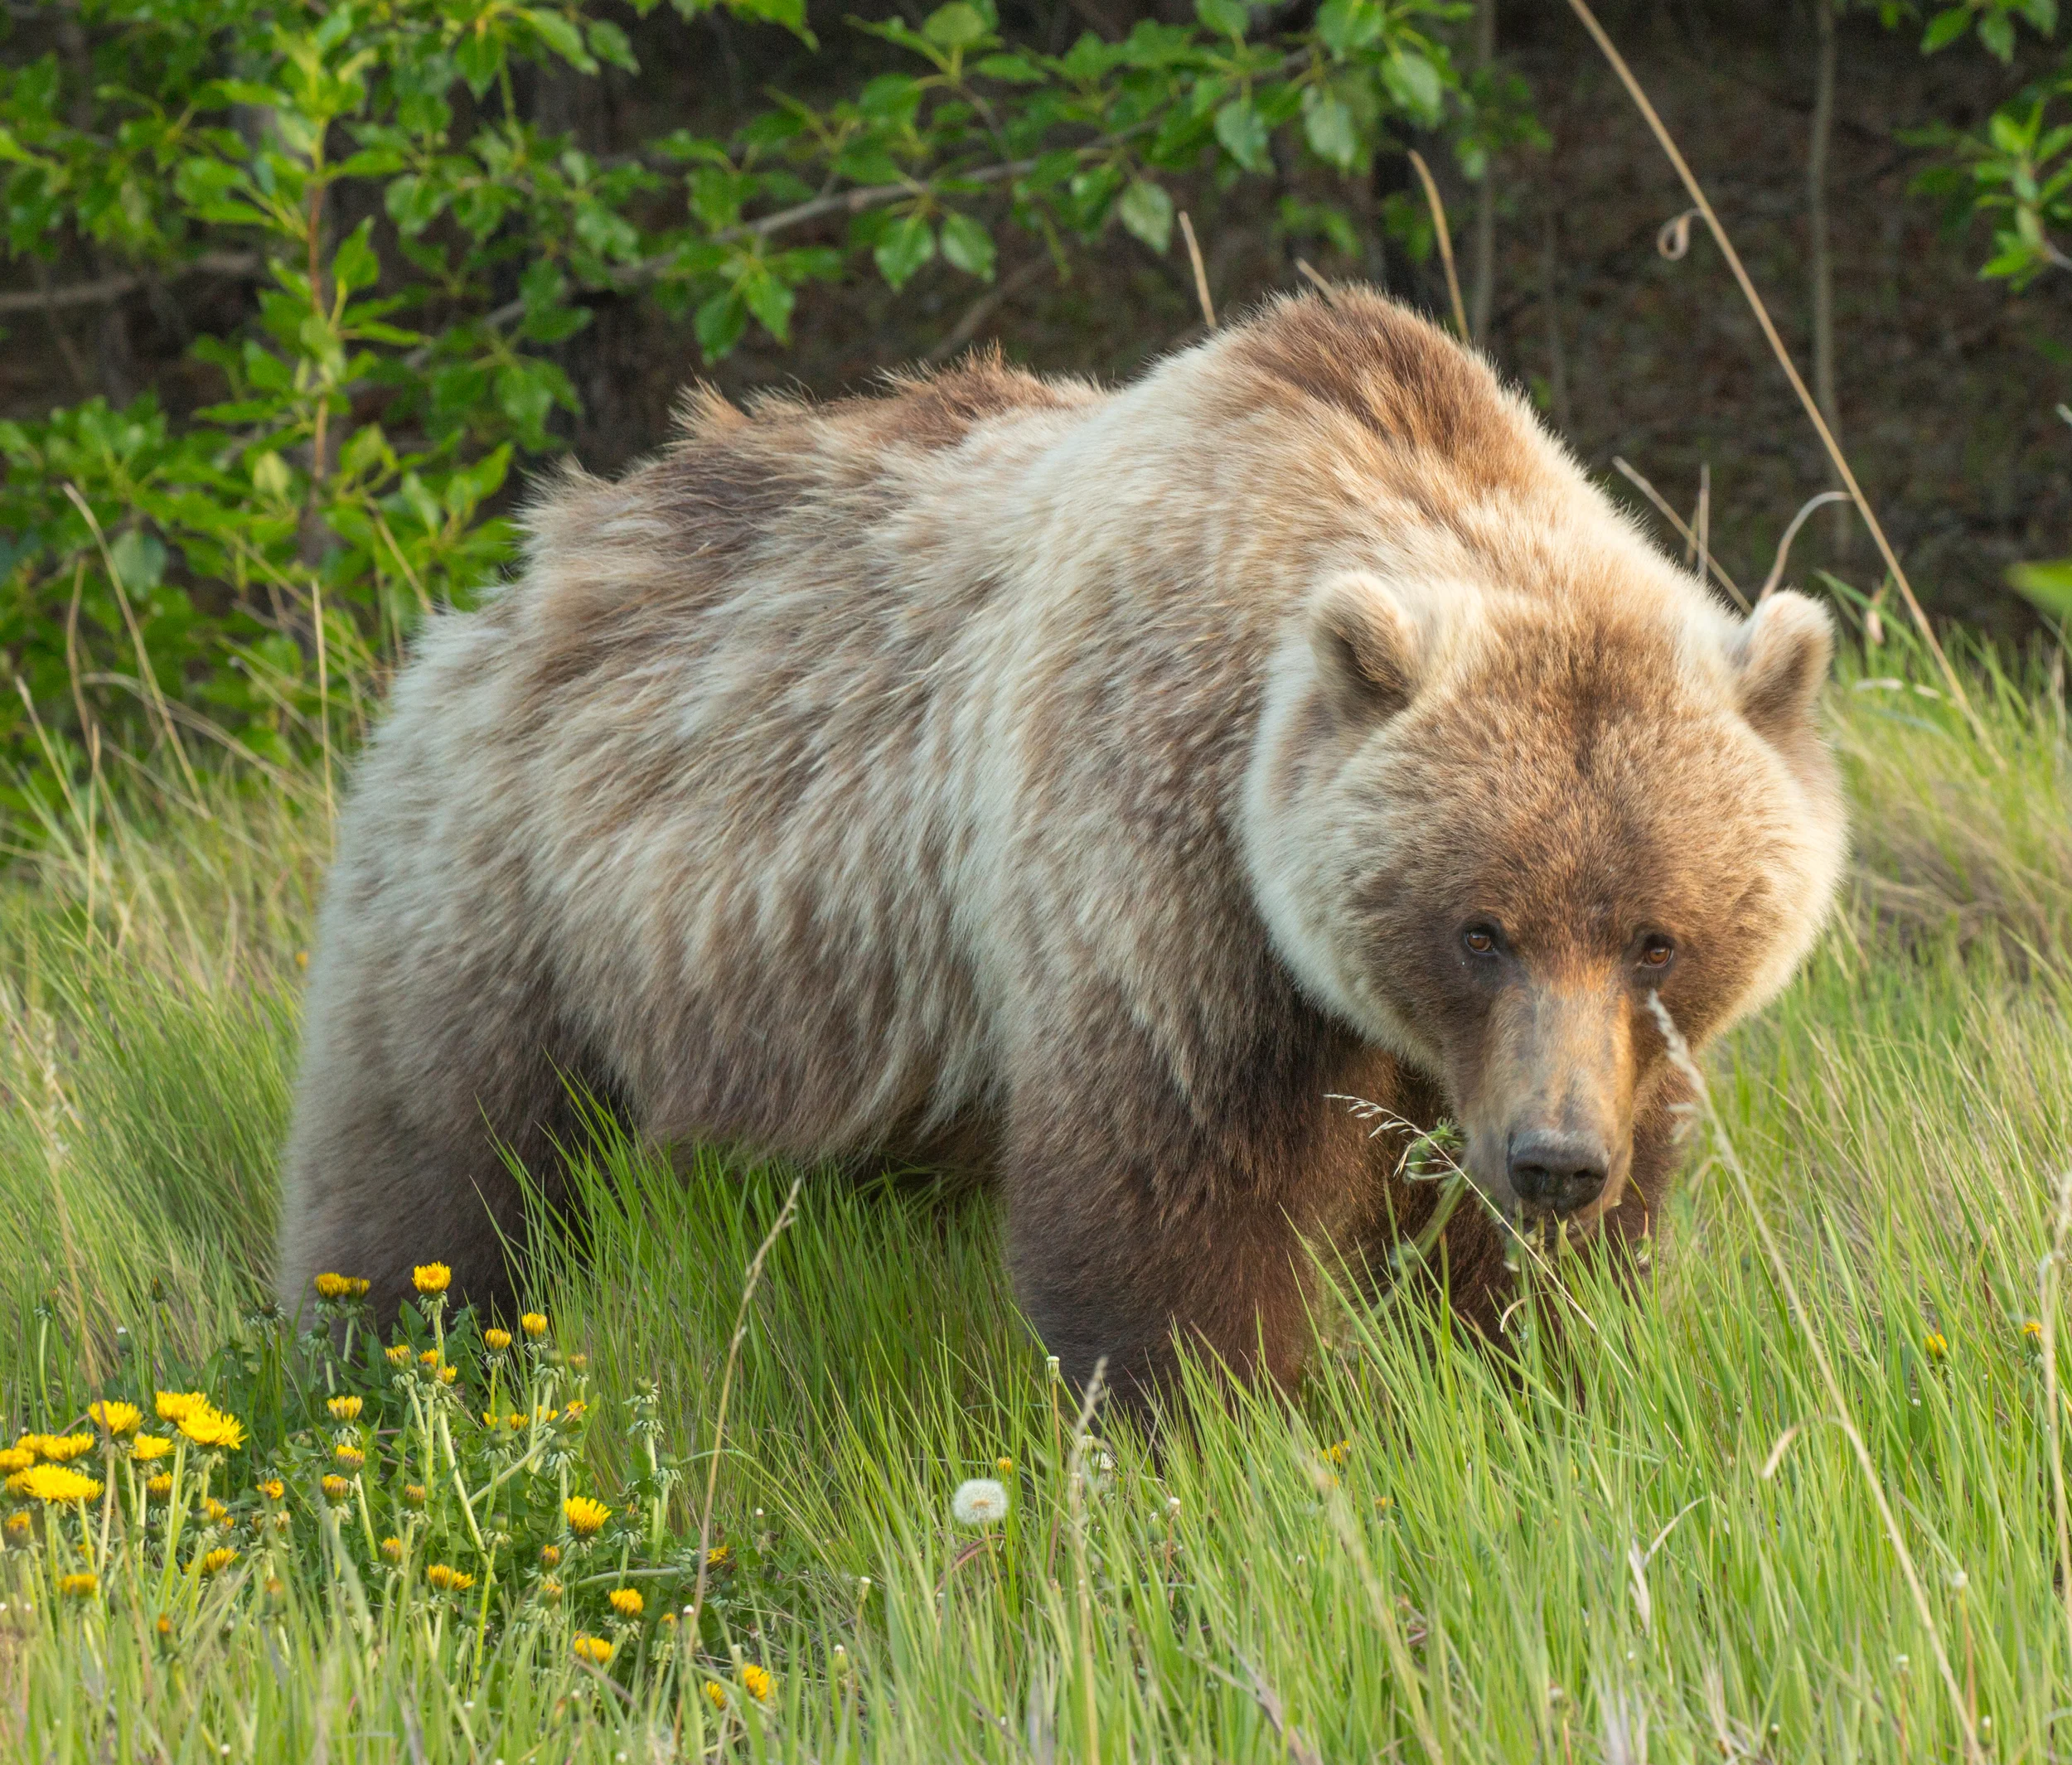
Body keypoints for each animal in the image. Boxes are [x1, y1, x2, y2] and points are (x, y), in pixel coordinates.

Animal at [276, 287, 1846, 1411]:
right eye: (1480, 925)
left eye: (1659, 936)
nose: (1555, 1158)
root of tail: (519, 577)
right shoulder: (1162, 880)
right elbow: (1169, 1219)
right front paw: (1229, 1436)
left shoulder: (1558, 1057)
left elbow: (1516, 1271)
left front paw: (1535, 1363)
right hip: (506, 895)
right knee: (435, 1166)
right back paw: (379, 1362)